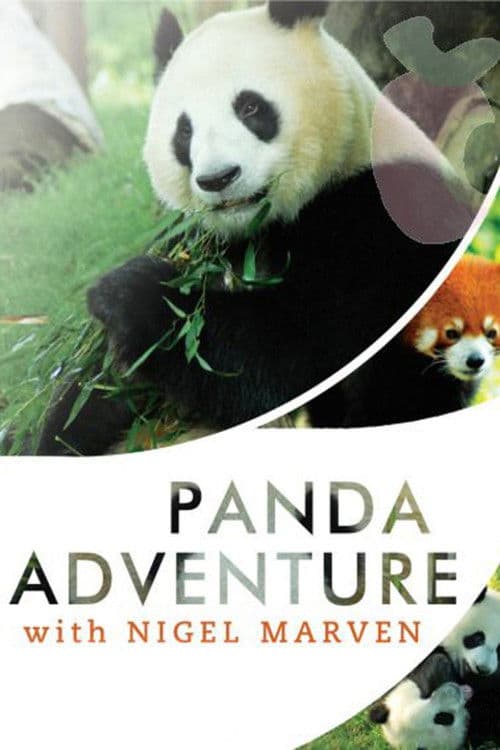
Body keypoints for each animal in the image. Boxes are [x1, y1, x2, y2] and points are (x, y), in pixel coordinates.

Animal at [36, 0, 472, 455]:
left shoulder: (382, 220)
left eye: (249, 108)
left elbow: (299, 354)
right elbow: (93, 394)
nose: (218, 178)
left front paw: (133, 296)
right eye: (184, 130)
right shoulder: (196, 237)